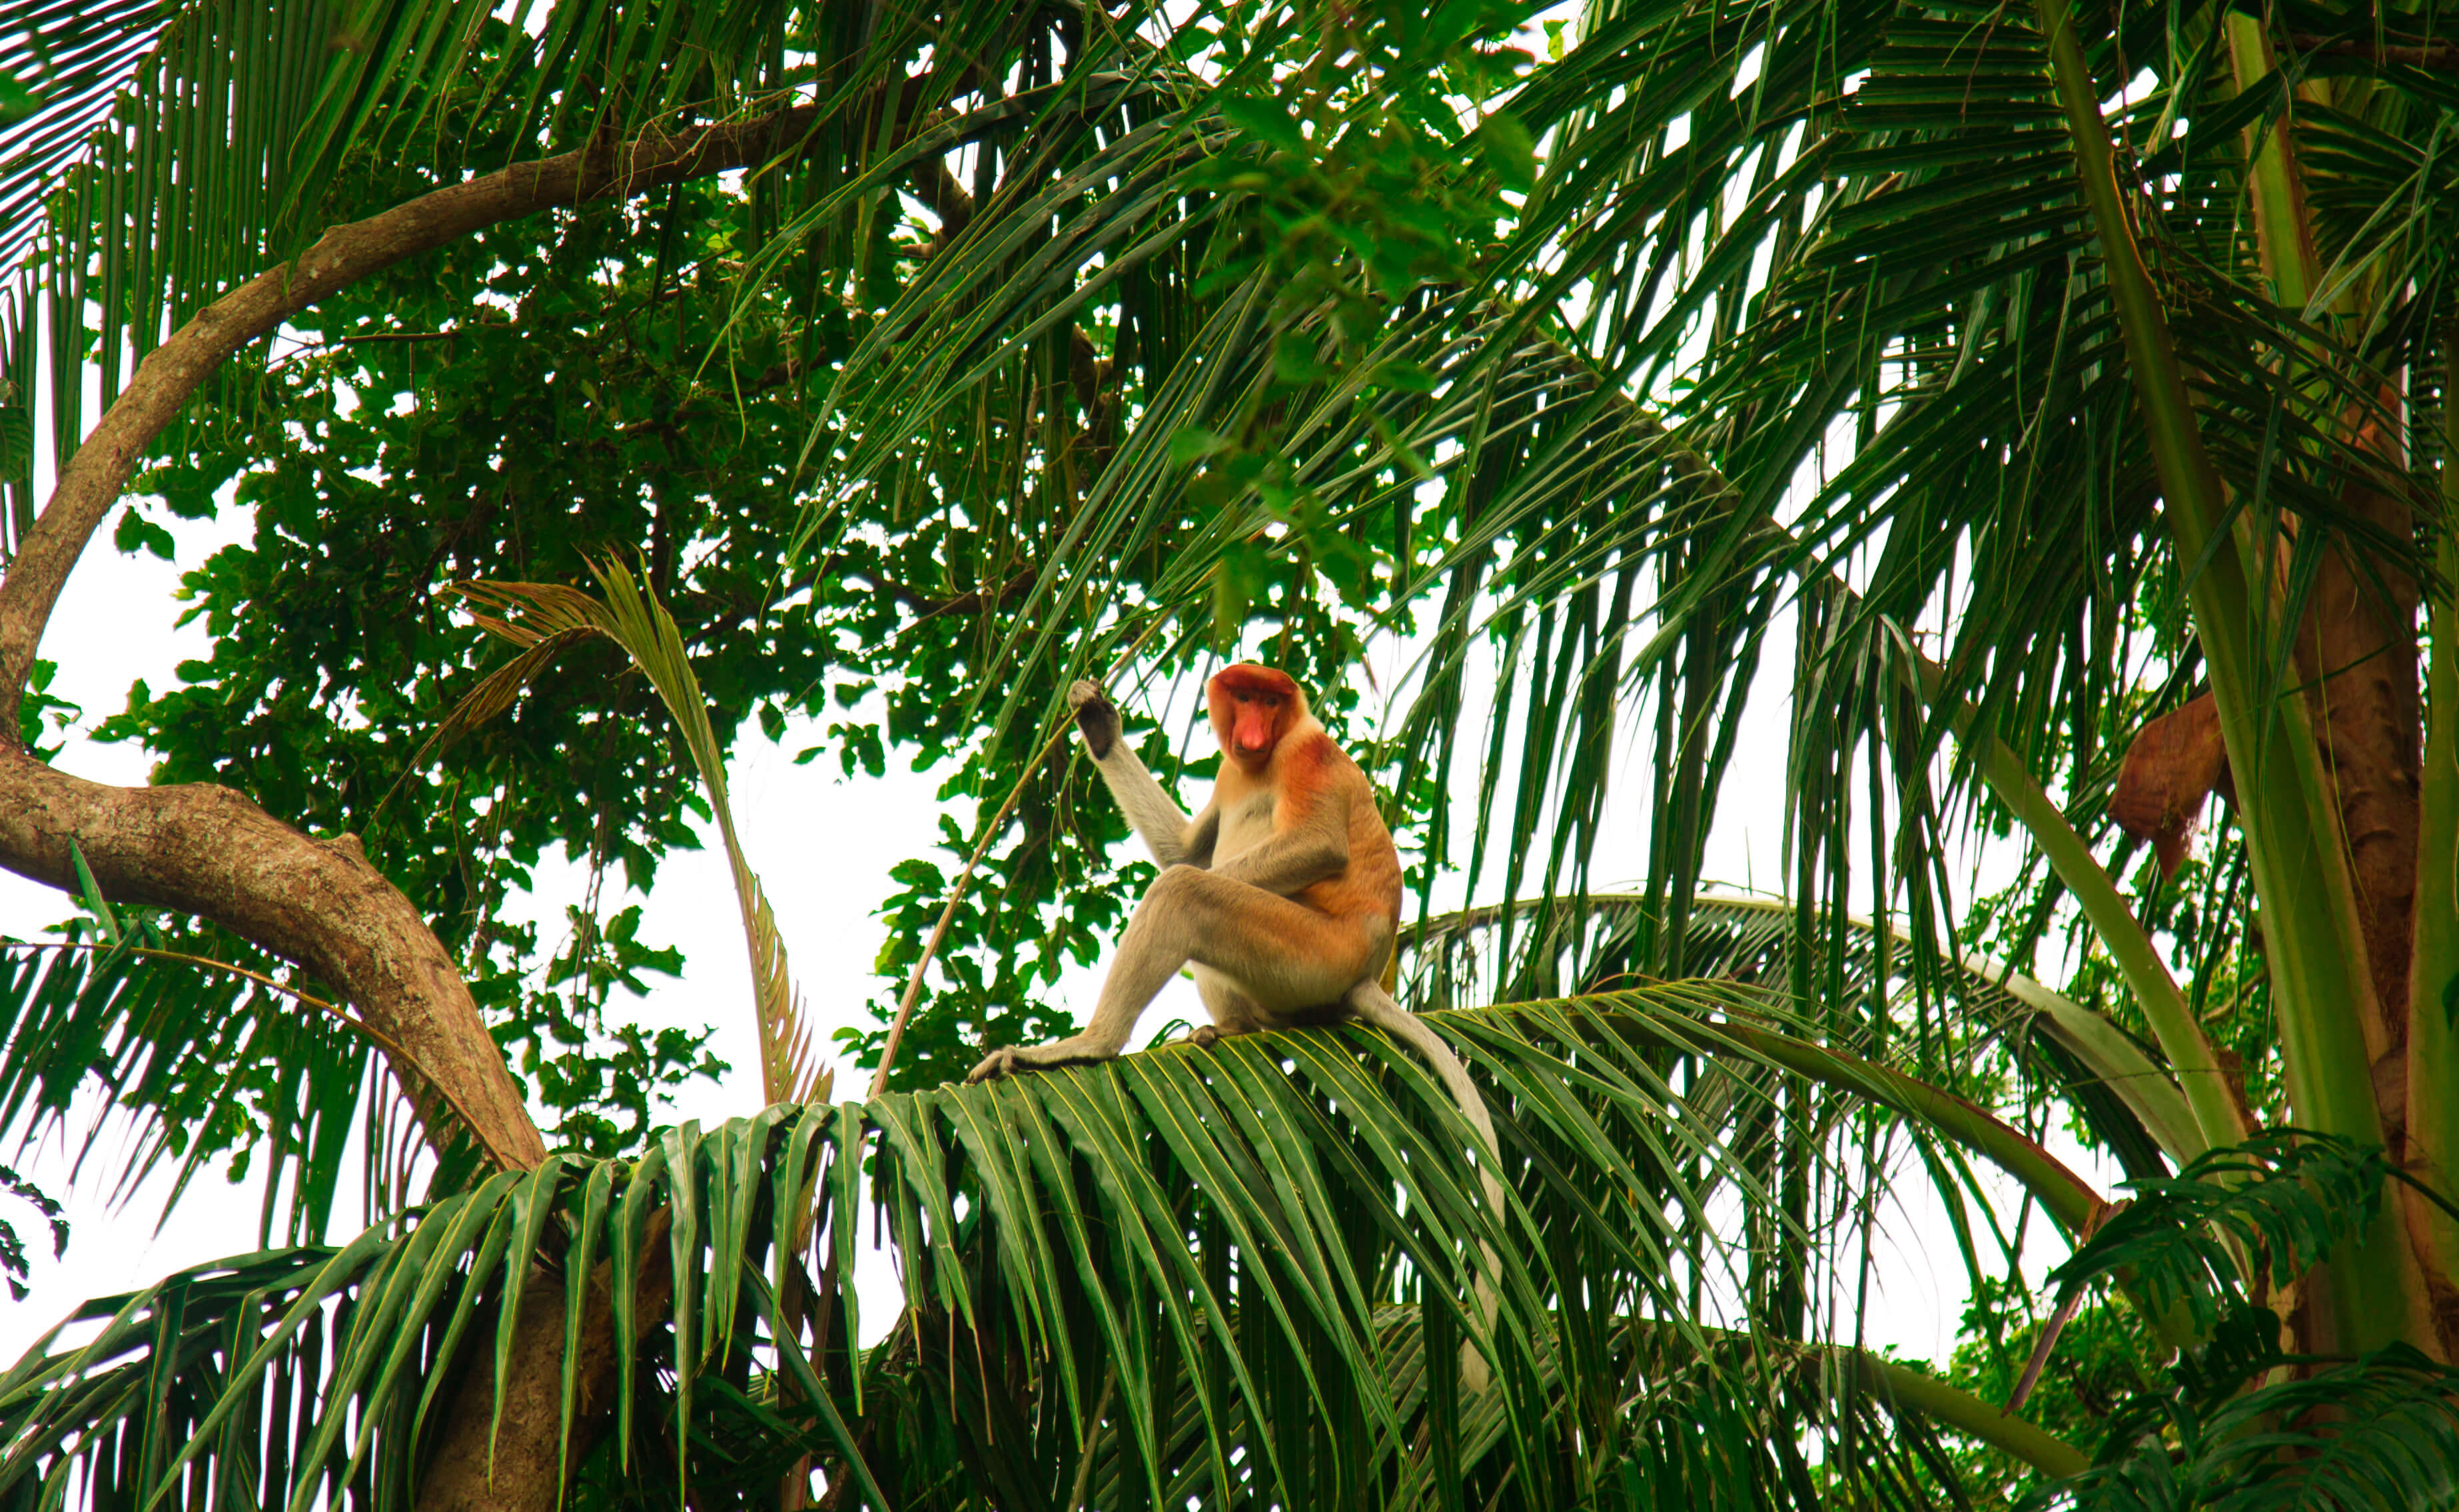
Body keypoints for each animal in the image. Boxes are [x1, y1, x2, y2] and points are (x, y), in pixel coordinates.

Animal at [969, 668, 1504, 1386]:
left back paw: (1090, 1044)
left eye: (1272, 700)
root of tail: (1368, 969)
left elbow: (1285, 851)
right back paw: (1232, 1029)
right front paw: (1097, 721)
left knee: (1188, 895)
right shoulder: (1230, 772)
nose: (1251, 727)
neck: (1266, 755)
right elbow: (1187, 846)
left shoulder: (1308, 757)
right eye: (1243, 696)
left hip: (1309, 952)